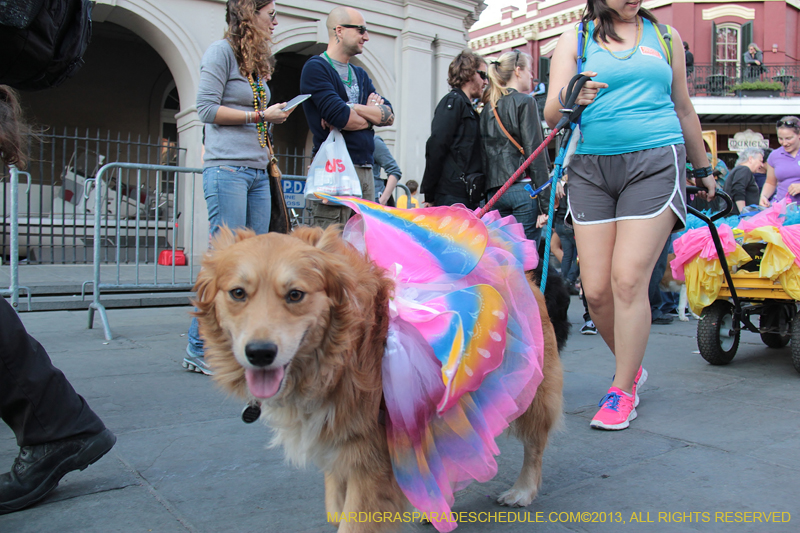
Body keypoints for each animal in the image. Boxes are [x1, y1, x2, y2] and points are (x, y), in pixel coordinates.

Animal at [195, 225, 564, 532]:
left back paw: (522, 490)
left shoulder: (370, 461)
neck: (340, 351)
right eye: (238, 293)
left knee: (535, 446)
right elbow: (336, 500)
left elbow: (355, 521)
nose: (259, 353)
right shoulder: (338, 442)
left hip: (531, 394)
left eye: (295, 294)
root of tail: (524, 274)